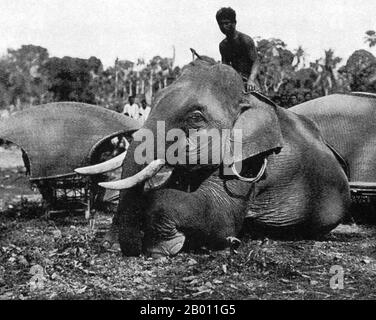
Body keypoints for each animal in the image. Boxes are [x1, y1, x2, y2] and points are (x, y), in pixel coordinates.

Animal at [75, 58, 350, 258]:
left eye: (196, 117)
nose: (115, 247)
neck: (247, 98)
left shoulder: (251, 161)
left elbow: (219, 216)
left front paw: (163, 248)